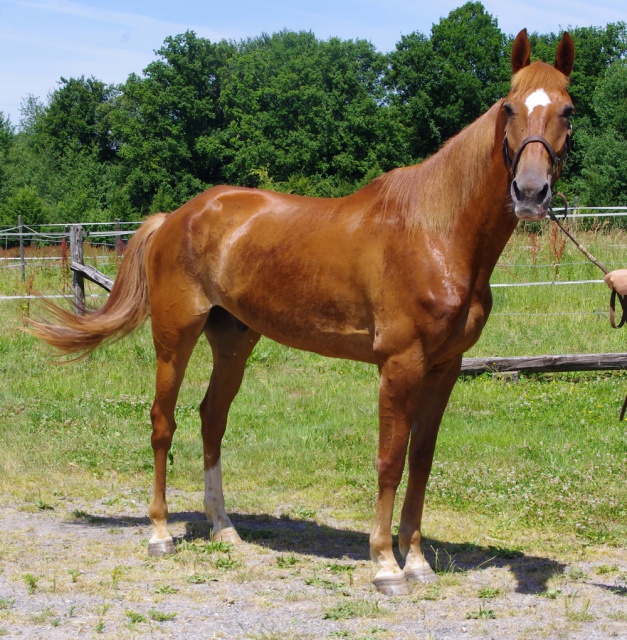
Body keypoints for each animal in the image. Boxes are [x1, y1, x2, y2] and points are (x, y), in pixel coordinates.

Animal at [28, 31, 576, 596]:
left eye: (568, 110)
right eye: (509, 107)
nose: (530, 192)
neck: (433, 231)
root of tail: (175, 217)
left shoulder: (444, 367)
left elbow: (421, 461)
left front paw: (418, 561)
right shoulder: (400, 365)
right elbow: (389, 461)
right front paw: (386, 565)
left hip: (234, 340)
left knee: (211, 419)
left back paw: (224, 527)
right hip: (175, 336)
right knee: (163, 422)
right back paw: (160, 533)